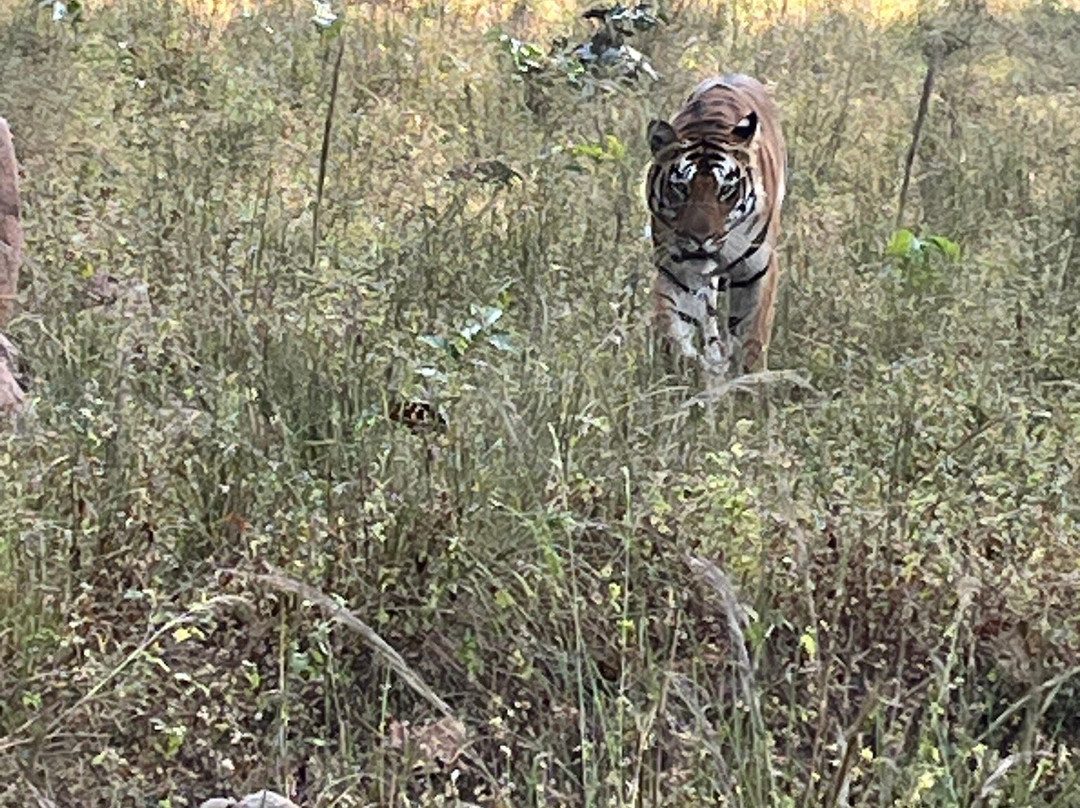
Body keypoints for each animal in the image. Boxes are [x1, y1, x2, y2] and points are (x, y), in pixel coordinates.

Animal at [645, 73, 787, 378]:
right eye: (680, 187)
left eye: (726, 190)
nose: (700, 238)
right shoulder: (676, 270)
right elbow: (674, 329)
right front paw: (685, 372)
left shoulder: (757, 270)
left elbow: (751, 340)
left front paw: (748, 384)